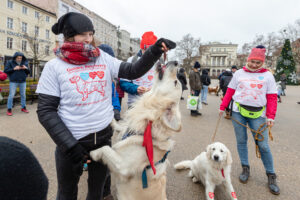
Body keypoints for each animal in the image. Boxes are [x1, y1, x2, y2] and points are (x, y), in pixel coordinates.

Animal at [90, 61, 182, 200]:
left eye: (176, 82)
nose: (176, 62)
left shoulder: (123, 165)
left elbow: (105, 148)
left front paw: (93, 153)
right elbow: (120, 126)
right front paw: (111, 117)